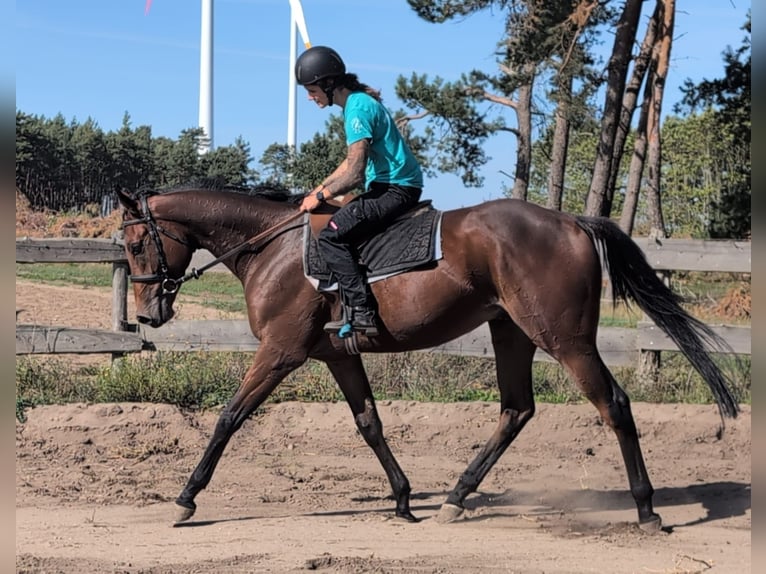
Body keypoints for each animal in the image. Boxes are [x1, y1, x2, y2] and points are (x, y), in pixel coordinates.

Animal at [116, 182, 739, 531]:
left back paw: (646, 509)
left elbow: (230, 416)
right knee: (516, 409)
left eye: (136, 242)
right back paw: (457, 498)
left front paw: (186, 498)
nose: (148, 316)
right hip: (511, 332)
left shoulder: (280, 351)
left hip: (564, 339)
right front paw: (403, 499)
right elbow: (369, 423)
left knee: (613, 404)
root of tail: (571, 222)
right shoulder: (336, 356)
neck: (271, 246)